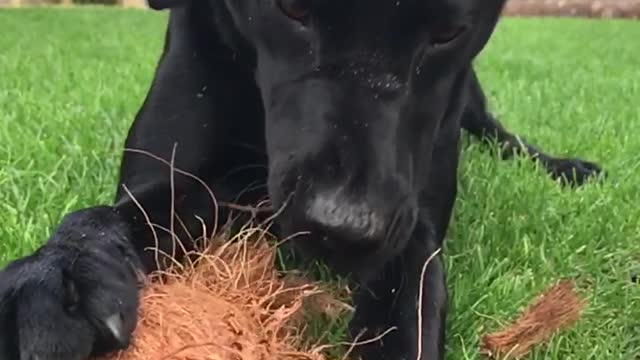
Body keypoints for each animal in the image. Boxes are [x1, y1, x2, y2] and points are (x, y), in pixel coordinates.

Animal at [0, 0, 604, 360]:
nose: (344, 226)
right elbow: (109, 218)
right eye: (287, 7)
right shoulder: (181, 180)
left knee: (500, 133)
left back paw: (564, 167)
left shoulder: (414, 232)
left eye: (449, 32)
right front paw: (58, 274)